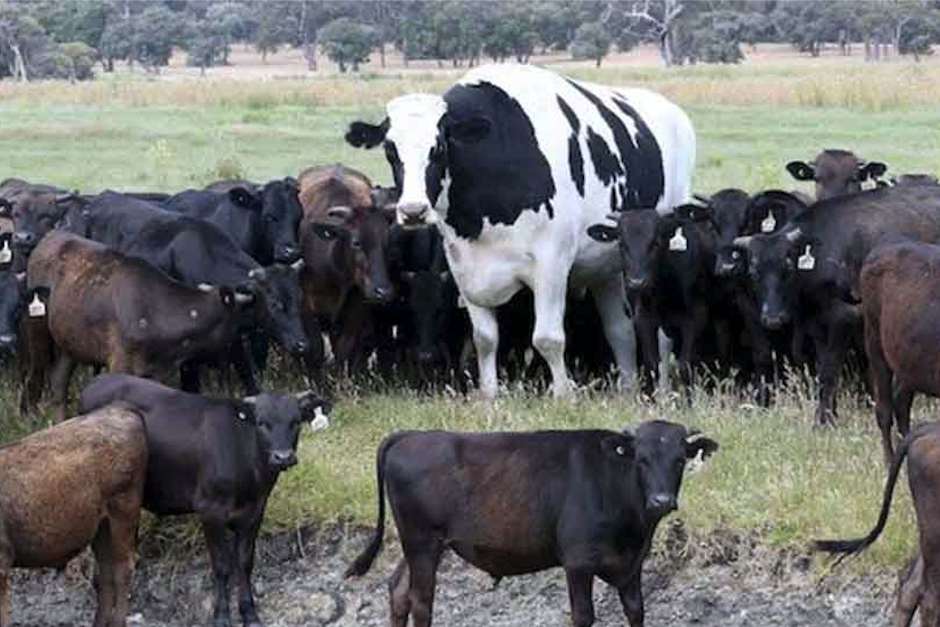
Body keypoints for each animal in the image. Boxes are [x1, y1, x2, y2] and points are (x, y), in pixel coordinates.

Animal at [27, 231, 244, 421]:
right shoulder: (120, 362)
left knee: (59, 383)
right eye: (237, 319)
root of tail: (49, 236)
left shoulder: (158, 373)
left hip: (69, 343)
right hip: (39, 332)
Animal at [78, 373, 331, 627]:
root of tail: (99, 381)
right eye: (261, 422)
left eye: (296, 421)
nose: (283, 456)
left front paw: (249, 612)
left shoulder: (255, 512)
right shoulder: (210, 510)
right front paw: (221, 615)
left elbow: (244, 562)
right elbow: (221, 565)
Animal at [345, 63, 696, 399]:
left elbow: (548, 339)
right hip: (606, 267)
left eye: (440, 146)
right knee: (619, 329)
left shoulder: (551, 263)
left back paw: (662, 391)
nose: (413, 211)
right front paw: (489, 396)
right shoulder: (464, 267)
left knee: (659, 337)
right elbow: (485, 338)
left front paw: (563, 397)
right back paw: (628, 389)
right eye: (390, 150)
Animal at [345, 421, 718, 627]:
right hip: (421, 541)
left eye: (679, 460)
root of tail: (412, 435)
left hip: (423, 544)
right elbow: (583, 615)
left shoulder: (631, 566)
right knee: (421, 602)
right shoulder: (578, 562)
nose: (661, 501)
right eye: (641, 459)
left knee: (399, 590)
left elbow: (636, 611)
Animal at [730, 185, 940, 425]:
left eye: (788, 268)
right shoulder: (817, 327)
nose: (773, 318)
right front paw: (831, 414)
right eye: (753, 272)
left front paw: (823, 419)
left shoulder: (843, 320)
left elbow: (829, 371)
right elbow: (822, 369)